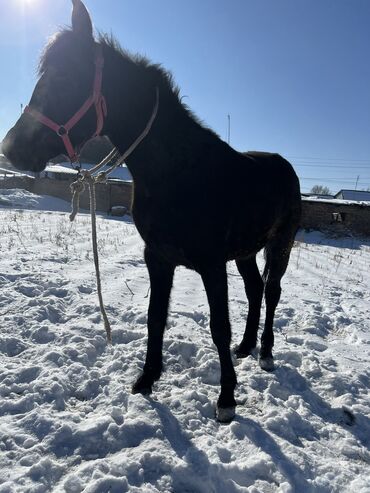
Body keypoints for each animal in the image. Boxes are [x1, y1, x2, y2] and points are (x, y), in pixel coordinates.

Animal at [2, 0, 300, 422]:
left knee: (272, 291)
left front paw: (226, 398)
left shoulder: (211, 264)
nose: (11, 149)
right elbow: (155, 317)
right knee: (255, 288)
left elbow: (218, 326)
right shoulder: (157, 257)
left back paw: (267, 354)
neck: (178, 172)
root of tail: (284, 166)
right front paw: (146, 380)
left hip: (281, 243)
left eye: (64, 78)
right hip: (245, 252)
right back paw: (246, 347)